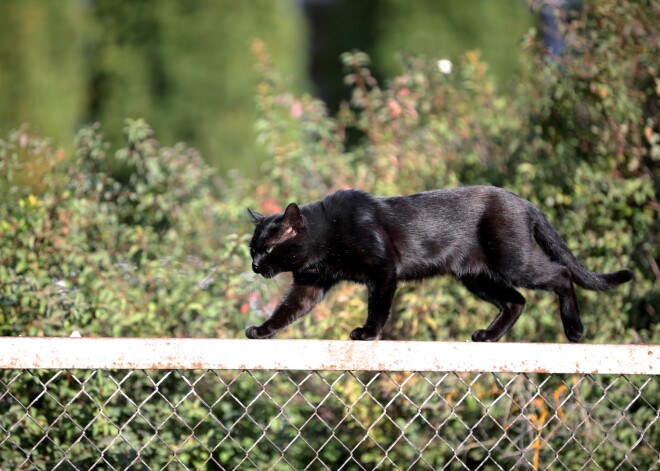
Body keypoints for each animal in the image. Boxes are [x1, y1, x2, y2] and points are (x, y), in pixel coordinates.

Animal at [244, 187, 636, 342]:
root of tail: (524, 202)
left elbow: (378, 307)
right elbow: (286, 311)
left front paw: (367, 334)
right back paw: (488, 336)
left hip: (514, 261)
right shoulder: (309, 284)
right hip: (476, 276)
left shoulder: (384, 271)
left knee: (562, 274)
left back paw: (575, 330)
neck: (326, 237)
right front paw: (261, 330)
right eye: (252, 249)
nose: (255, 266)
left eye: (268, 249)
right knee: (516, 300)